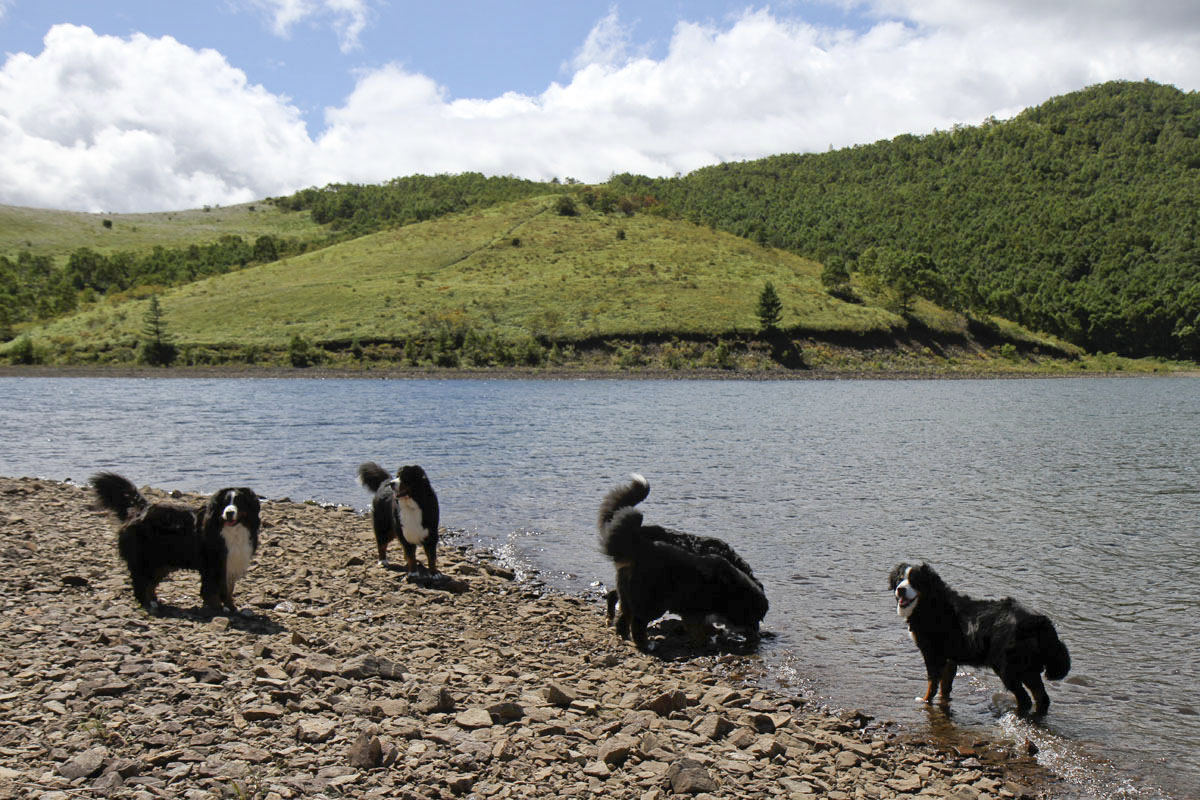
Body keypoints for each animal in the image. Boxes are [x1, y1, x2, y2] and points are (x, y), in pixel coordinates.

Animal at [91, 472, 262, 618]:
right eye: (225, 503)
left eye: (239, 503)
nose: (229, 513)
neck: (233, 530)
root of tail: (139, 510)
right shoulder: (213, 564)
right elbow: (212, 591)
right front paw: (217, 608)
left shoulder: (231, 562)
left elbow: (228, 590)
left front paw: (232, 608)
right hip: (144, 560)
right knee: (140, 582)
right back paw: (147, 603)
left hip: (160, 562)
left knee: (150, 583)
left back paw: (155, 601)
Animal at [892, 561, 1070, 714]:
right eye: (900, 579)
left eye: (915, 581)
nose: (900, 589)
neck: (930, 603)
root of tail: (1038, 621)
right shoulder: (950, 658)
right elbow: (945, 686)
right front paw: (943, 702)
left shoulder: (932, 653)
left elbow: (932, 683)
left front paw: (924, 701)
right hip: (1028, 668)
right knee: (1042, 698)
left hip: (1007, 668)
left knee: (1025, 699)